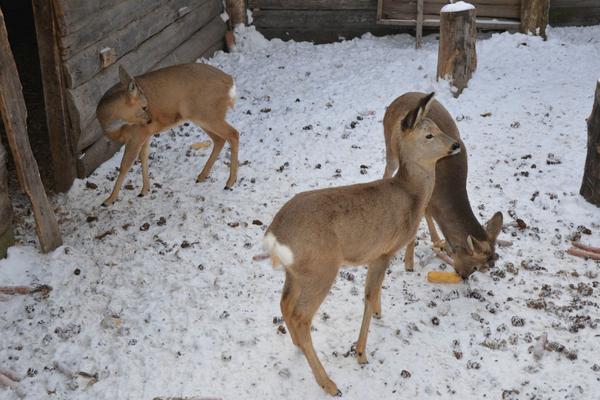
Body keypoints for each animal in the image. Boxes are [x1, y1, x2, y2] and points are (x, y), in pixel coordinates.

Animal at [95, 64, 238, 206]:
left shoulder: (137, 133)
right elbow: (143, 157)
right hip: (202, 117)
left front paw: (109, 200)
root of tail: (229, 81)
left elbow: (125, 164)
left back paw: (230, 182)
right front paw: (144, 190)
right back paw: (202, 176)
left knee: (233, 134)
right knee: (219, 139)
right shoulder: (145, 134)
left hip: (208, 114)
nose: (150, 120)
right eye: (144, 107)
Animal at [262, 92, 460, 396]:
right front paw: (361, 352)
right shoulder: (383, 251)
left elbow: (374, 292)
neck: (410, 194)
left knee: (284, 302)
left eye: (438, 127)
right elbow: (368, 295)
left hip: (295, 271)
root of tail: (275, 234)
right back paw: (329, 383)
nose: (455, 144)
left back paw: (297, 345)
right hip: (322, 268)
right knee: (300, 315)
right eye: (429, 135)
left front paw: (378, 313)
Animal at [384, 92, 502, 276]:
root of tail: (397, 99)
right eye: (475, 266)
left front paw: (440, 244)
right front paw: (409, 264)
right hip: (390, 149)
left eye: (484, 267)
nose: (463, 276)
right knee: (387, 170)